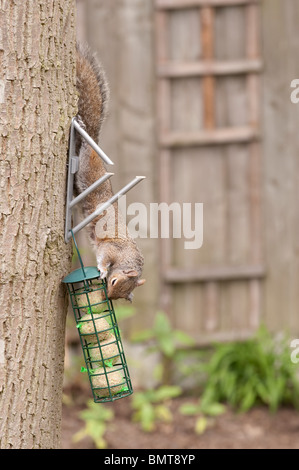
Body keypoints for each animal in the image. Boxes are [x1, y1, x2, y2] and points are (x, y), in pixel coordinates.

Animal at [74, 45, 145, 302]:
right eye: (113, 282)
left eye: (119, 296)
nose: (108, 295)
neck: (126, 256)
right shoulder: (110, 248)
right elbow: (103, 257)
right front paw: (103, 270)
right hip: (86, 166)